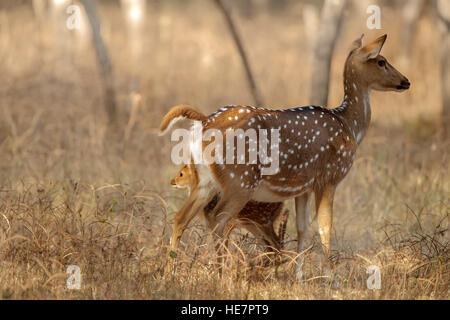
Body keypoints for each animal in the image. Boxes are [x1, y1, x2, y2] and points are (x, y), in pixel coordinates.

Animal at [160, 33, 410, 278]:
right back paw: (219, 273)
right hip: (240, 181)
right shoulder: (329, 177)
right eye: (381, 61)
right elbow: (325, 226)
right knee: (218, 218)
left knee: (181, 218)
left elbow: (302, 227)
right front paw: (331, 277)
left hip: (204, 180)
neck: (348, 125)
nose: (406, 81)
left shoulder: (303, 187)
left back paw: (171, 273)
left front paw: (298, 276)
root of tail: (203, 123)